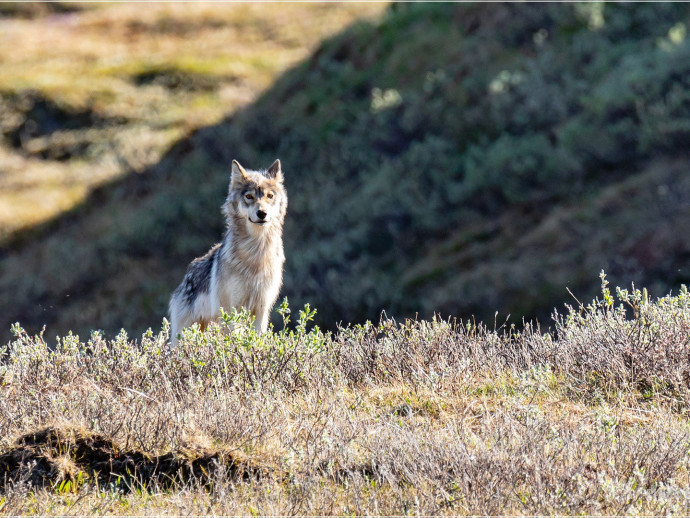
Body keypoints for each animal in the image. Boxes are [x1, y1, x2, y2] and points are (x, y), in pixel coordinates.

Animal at [168, 159, 287, 347]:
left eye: (269, 196)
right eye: (249, 197)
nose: (262, 213)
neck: (255, 253)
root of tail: (186, 277)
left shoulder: (262, 309)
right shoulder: (231, 311)